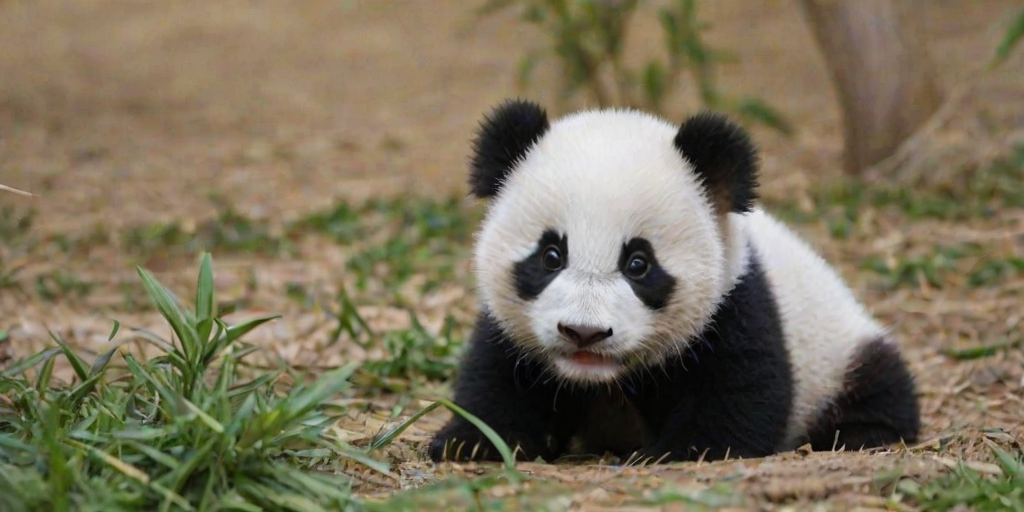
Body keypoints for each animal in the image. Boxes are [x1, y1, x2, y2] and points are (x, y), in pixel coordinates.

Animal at [427, 99, 920, 464]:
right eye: (551, 256)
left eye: (638, 264)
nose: (584, 333)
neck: (602, 379)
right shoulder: (513, 330)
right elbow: (498, 378)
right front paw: (471, 442)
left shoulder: (736, 305)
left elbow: (740, 393)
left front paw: (674, 452)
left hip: (838, 350)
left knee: (881, 382)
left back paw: (856, 432)